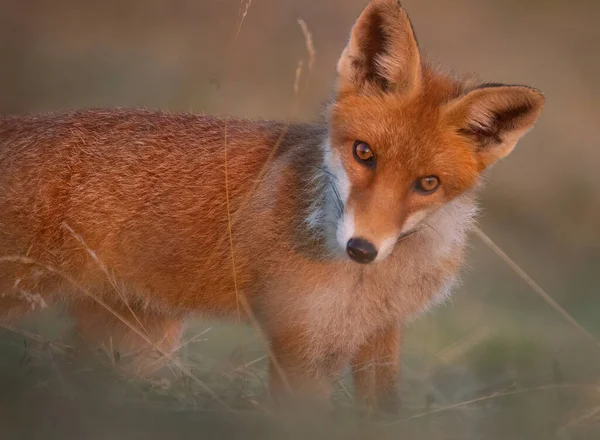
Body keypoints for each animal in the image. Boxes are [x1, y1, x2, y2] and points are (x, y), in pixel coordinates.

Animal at [0, 0, 544, 412]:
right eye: (363, 153)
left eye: (427, 183)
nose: (362, 249)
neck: (371, 286)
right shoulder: (296, 341)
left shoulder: (379, 337)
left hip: (138, 342)